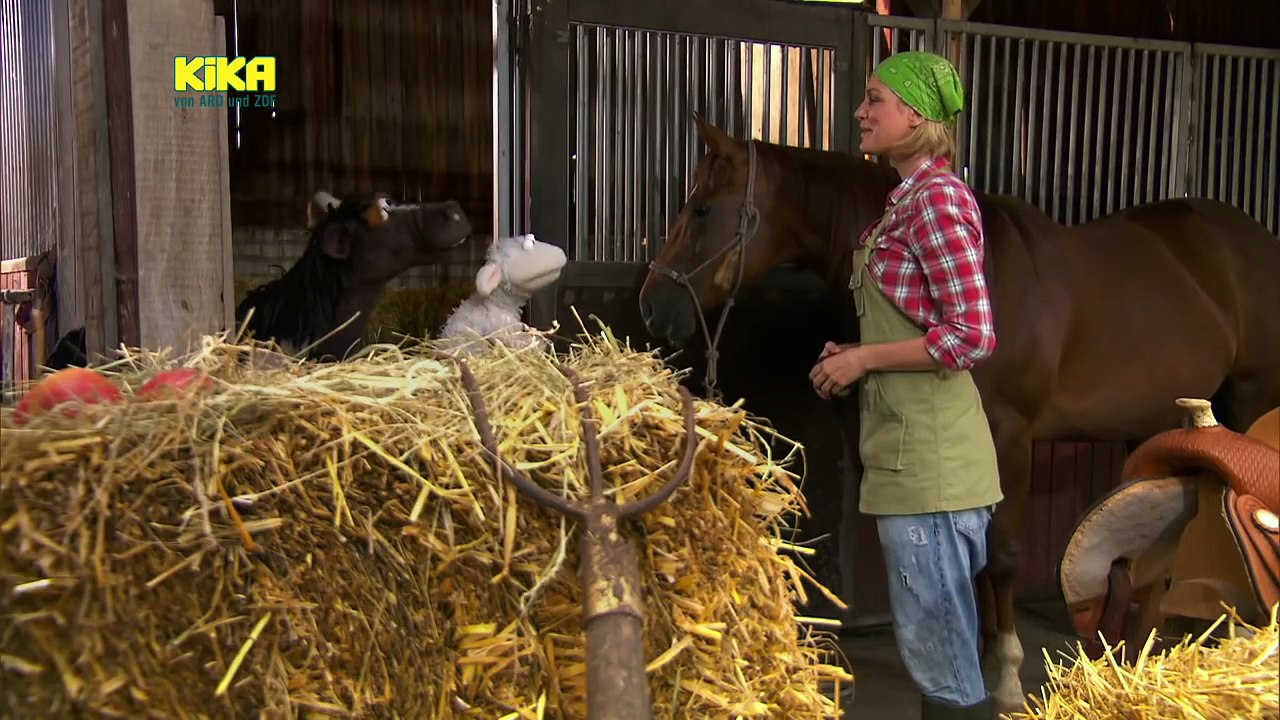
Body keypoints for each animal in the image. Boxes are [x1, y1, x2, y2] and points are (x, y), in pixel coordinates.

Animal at [637, 114, 1280, 707]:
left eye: (701, 210)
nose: (651, 307)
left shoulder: (1011, 438)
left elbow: (1003, 557)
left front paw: (1007, 677)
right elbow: (973, 562)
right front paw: (977, 658)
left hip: (1247, 398)